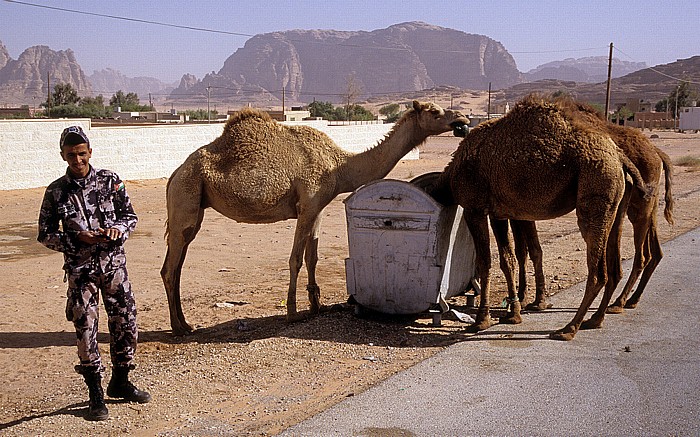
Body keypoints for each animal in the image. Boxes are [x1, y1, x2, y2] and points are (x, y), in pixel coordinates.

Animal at [161, 101, 468, 334]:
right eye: (435, 111)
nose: (463, 120)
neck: (339, 165)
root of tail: (174, 174)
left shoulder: (318, 206)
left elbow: (312, 257)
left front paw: (316, 305)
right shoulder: (308, 203)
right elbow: (295, 259)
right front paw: (293, 312)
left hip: (192, 205)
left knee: (176, 265)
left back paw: (184, 323)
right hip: (186, 196)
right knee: (170, 267)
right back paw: (179, 328)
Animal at [434, 94, 648, 340]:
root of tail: (620, 156)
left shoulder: (474, 208)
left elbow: (485, 261)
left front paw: (481, 320)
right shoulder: (498, 212)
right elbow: (508, 260)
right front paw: (513, 314)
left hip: (597, 189)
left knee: (597, 273)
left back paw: (568, 329)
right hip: (616, 204)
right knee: (613, 267)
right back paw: (595, 319)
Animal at [506, 99, 676, 314]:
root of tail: (657, 152)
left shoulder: (524, 210)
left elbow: (532, 250)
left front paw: (535, 301)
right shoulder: (515, 211)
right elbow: (521, 250)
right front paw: (522, 298)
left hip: (639, 206)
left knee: (642, 255)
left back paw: (618, 303)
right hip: (646, 204)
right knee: (655, 252)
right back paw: (631, 299)